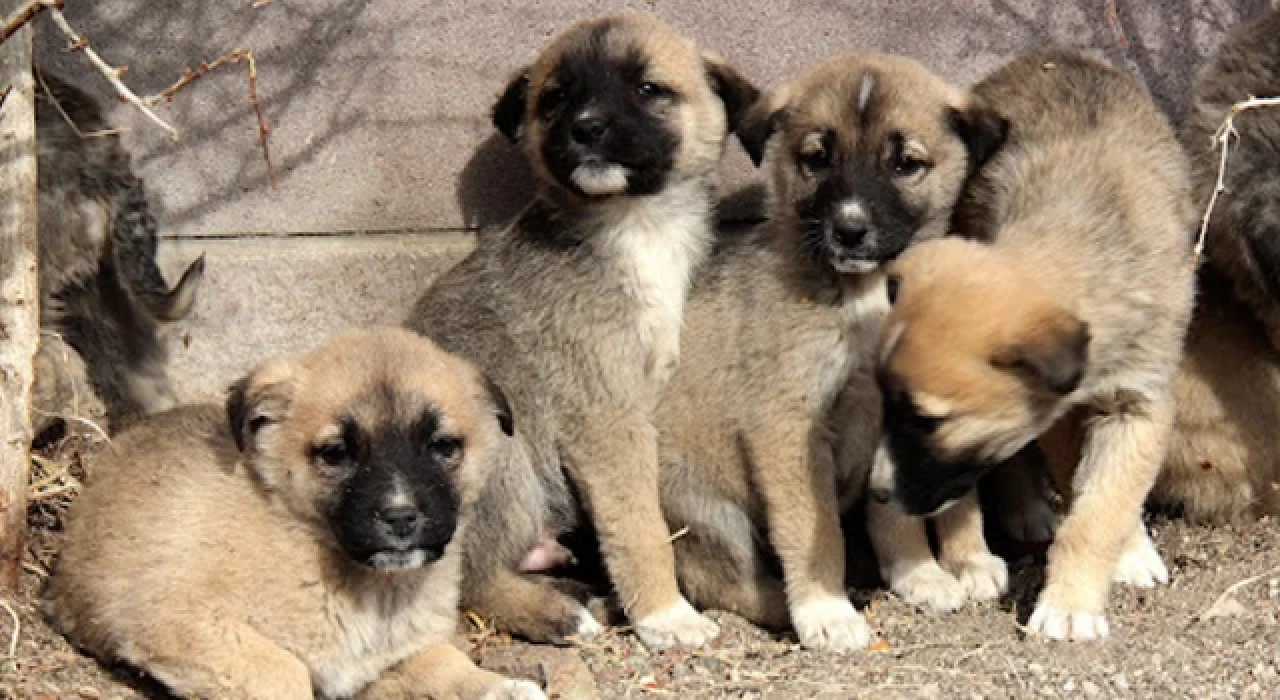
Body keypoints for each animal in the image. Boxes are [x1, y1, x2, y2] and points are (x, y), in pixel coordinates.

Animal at [43, 330, 545, 700]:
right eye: (336, 453)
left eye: (443, 445)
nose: (401, 518)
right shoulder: (179, 618)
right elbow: (283, 671)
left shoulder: (392, 658)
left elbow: (447, 660)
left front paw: (504, 687)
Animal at [404, 15, 752, 652]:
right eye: (556, 98)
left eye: (647, 88)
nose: (587, 129)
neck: (634, 224)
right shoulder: (605, 417)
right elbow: (640, 526)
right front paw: (665, 614)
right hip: (503, 449)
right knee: (466, 577)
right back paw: (555, 612)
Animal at [660, 50, 1008, 652]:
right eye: (817, 159)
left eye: (905, 164)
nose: (849, 230)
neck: (868, 295)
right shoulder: (788, 427)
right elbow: (812, 529)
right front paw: (826, 608)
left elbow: (898, 511)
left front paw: (922, 572)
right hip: (704, 504)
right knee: (717, 577)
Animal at [875, 47, 1192, 639]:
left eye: (927, 421)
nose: (878, 493)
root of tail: (1047, 55)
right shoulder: (1062, 412)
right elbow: (1079, 486)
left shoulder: (1140, 401)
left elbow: (1102, 508)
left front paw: (1081, 594)